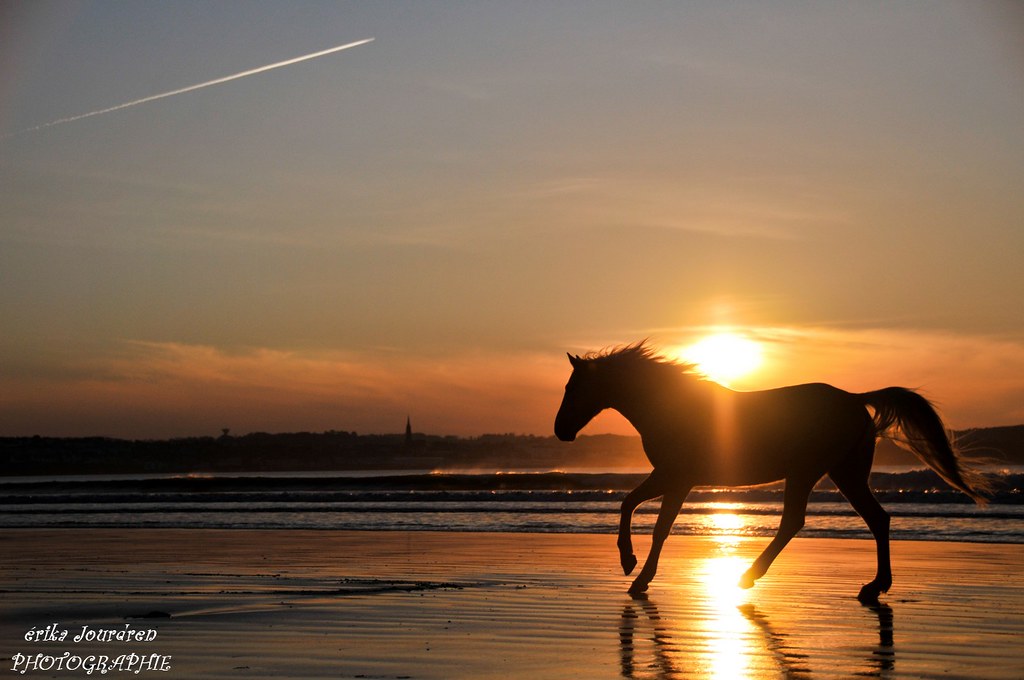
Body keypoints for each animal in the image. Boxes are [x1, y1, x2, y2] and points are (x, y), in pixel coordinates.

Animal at [553, 341, 990, 602]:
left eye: (573, 389)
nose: (561, 431)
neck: (672, 407)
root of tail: (854, 399)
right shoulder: (670, 476)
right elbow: (633, 506)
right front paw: (632, 567)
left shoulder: (677, 477)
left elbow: (649, 519)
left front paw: (636, 573)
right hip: (844, 473)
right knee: (876, 519)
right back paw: (874, 587)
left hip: (809, 471)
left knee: (796, 521)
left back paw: (749, 575)